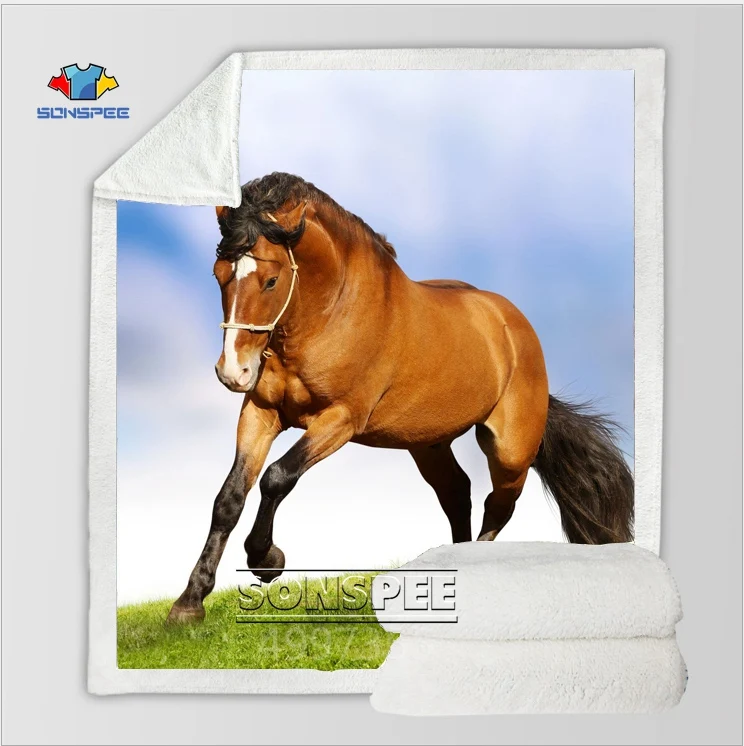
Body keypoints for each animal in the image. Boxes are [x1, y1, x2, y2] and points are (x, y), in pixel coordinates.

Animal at [166, 172, 633, 624]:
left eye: (271, 280)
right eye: (218, 275)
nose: (233, 372)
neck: (330, 313)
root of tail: (514, 326)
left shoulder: (340, 419)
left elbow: (277, 477)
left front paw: (266, 560)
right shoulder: (261, 413)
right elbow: (229, 498)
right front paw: (189, 602)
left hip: (510, 450)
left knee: (498, 505)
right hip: (428, 443)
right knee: (457, 493)